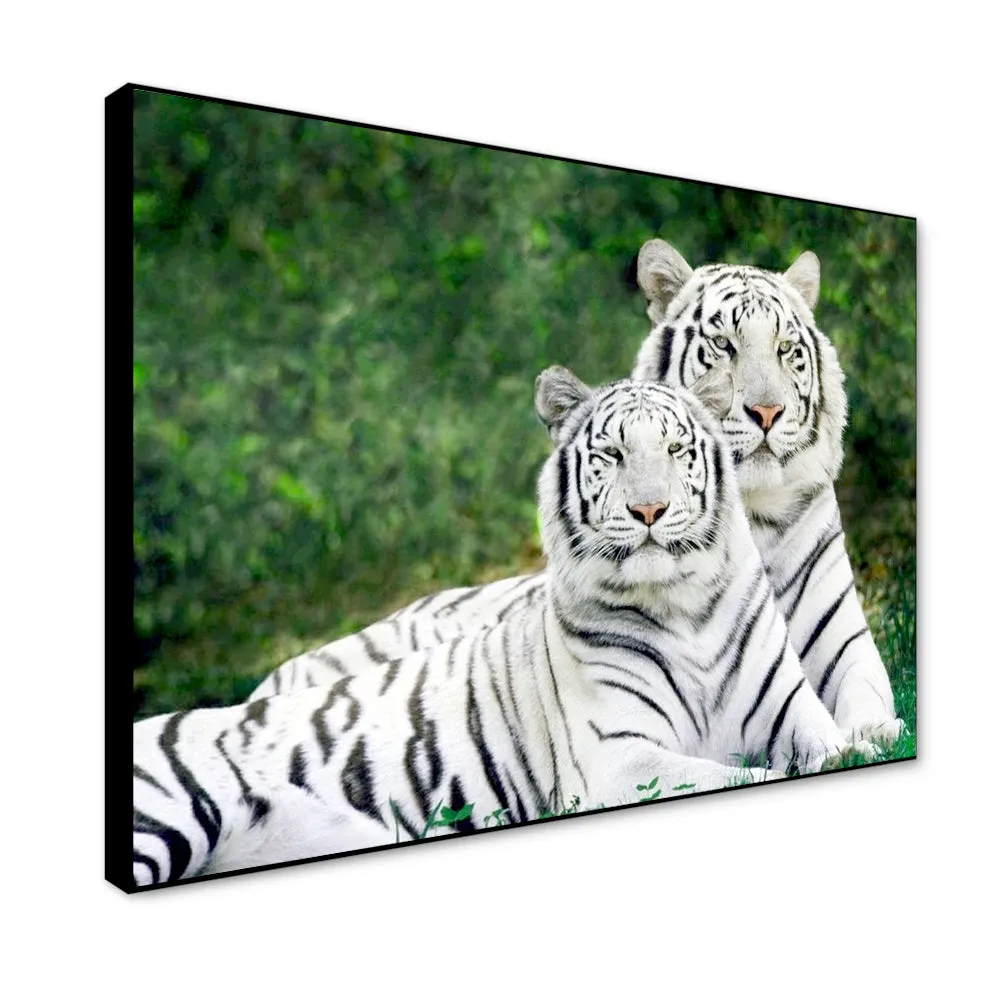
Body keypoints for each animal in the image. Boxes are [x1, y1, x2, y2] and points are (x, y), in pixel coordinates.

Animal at [133, 371, 869, 886]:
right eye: (611, 454)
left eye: (676, 449)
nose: (650, 509)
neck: (683, 607)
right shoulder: (619, 762)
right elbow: (738, 776)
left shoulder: (796, 716)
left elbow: (839, 751)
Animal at [250, 240, 902, 748]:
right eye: (724, 346)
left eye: (788, 349)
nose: (767, 412)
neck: (756, 513)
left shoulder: (844, 640)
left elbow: (870, 699)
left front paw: (872, 734)